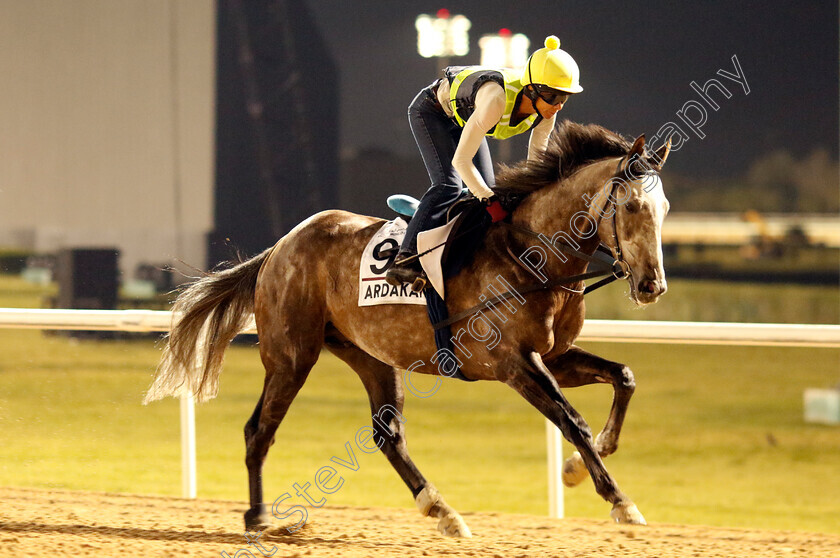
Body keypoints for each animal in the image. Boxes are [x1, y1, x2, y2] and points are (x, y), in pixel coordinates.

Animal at [143, 121, 668, 540]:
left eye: (663, 209)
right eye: (633, 207)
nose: (652, 285)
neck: (531, 253)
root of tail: (279, 247)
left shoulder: (554, 355)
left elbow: (623, 376)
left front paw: (584, 461)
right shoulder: (513, 363)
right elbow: (571, 419)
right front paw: (620, 500)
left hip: (372, 355)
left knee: (388, 434)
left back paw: (441, 509)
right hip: (291, 355)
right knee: (260, 428)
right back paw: (258, 517)